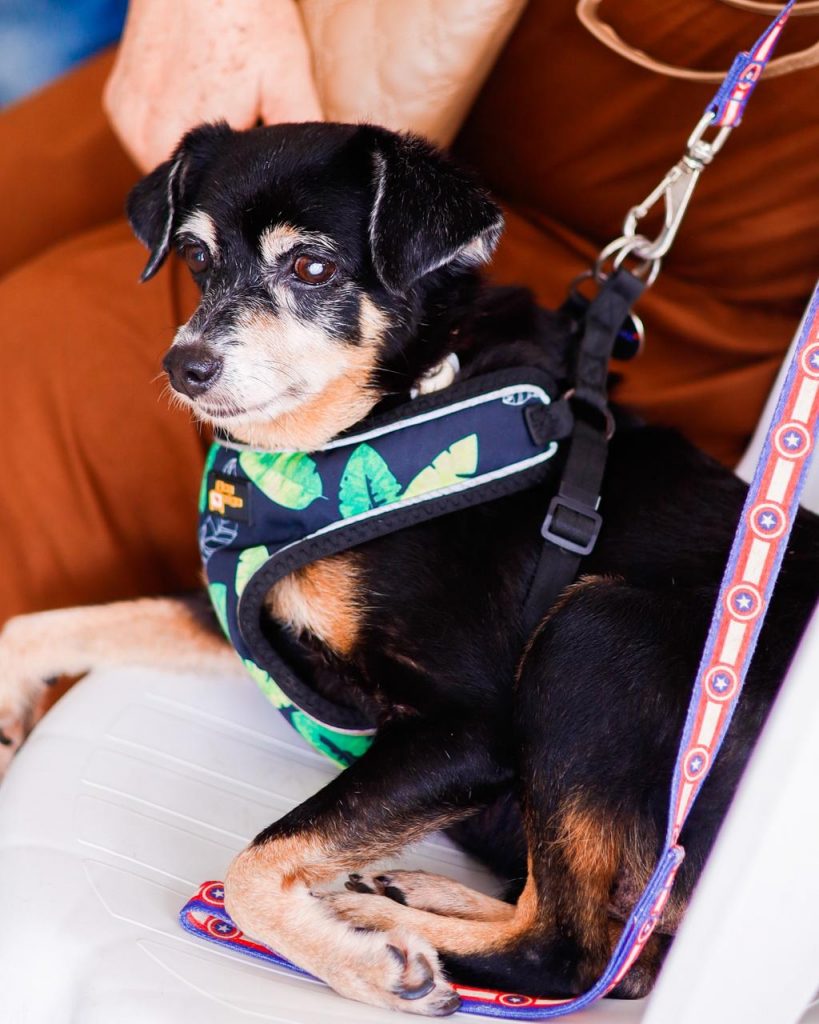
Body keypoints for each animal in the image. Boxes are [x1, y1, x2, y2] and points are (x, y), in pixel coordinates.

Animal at [1, 121, 816, 1016]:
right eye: (196, 256)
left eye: (311, 267)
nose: (186, 366)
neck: (388, 409)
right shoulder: (248, 624)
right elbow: (44, 625)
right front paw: (8, 712)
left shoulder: (464, 729)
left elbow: (252, 864)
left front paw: (363, 965)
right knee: (608, 948)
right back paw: (417, 897)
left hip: (593, 634)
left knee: (571, 956)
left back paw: (395, 931)